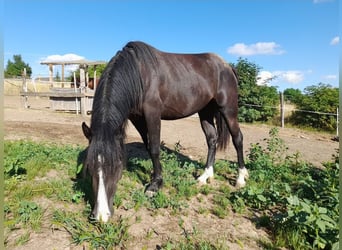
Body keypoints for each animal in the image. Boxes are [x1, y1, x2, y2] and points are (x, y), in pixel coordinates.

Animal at [82, 41, 248, 223]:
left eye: (117, 166)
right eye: (89, 167)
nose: (101, 216)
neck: (138, 73)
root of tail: (227, 66)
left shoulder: (153, 113)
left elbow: (155, 148)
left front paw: (155, 185)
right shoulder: (137, 118)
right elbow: (149, 147)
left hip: (228, 109)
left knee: (238, 138)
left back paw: (241, 178)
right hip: (205, 111)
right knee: (212, 139)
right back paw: (205, 175)